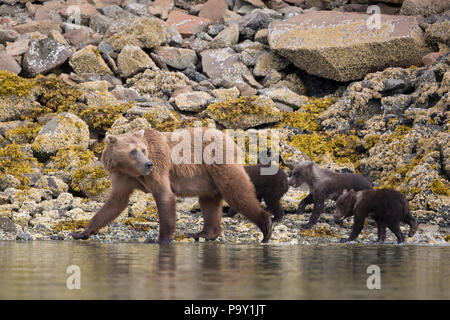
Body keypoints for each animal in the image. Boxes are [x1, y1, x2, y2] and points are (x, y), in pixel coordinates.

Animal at [72, 127, 272, 242]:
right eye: (133, 151)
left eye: (143, 150)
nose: (148, 164)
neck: (131, 170)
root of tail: (231, 138)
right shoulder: (123, 178)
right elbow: (114, 203)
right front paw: (81, 232)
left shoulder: (159, 166)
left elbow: (164, 195)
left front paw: (162, 238)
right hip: (207, 180)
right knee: (209, 202)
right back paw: (204, 233)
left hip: (219, 163)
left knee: (237, 192)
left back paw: (266, 226)